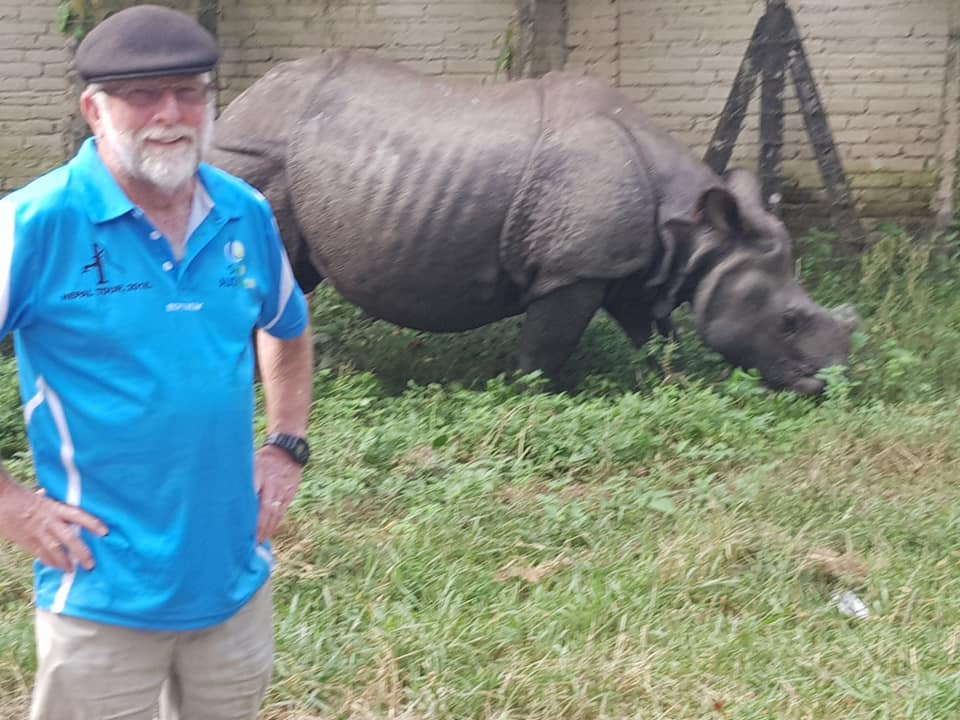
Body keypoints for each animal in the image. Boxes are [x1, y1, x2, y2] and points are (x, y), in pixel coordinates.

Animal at [208, 50, 855, 394]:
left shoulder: (629, 262)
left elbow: (647, 330)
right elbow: (547, 345)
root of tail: (237, 105)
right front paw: (534, 395)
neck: (696, 231)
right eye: (789, 321)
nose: (828, 386)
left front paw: (665, 381)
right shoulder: (573, 269)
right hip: (257, 157)